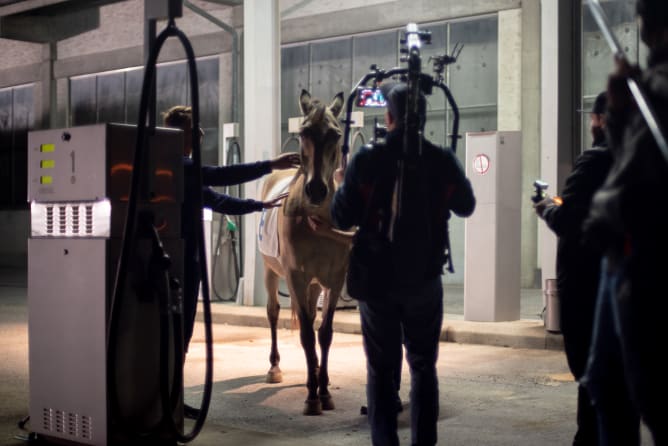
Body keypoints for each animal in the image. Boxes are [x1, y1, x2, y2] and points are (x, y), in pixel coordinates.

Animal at [258, 89, 350, 414]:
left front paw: (325, 390)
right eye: (303, 132)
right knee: (273, 312)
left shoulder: (334, 280)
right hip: (271, 272)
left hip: (313, 284)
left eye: (336, 134)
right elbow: (307, 335)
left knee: (308, 314)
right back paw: (274, 368)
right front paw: (312, 397)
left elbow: (324, 333)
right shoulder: (295, 277)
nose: (317, 190)